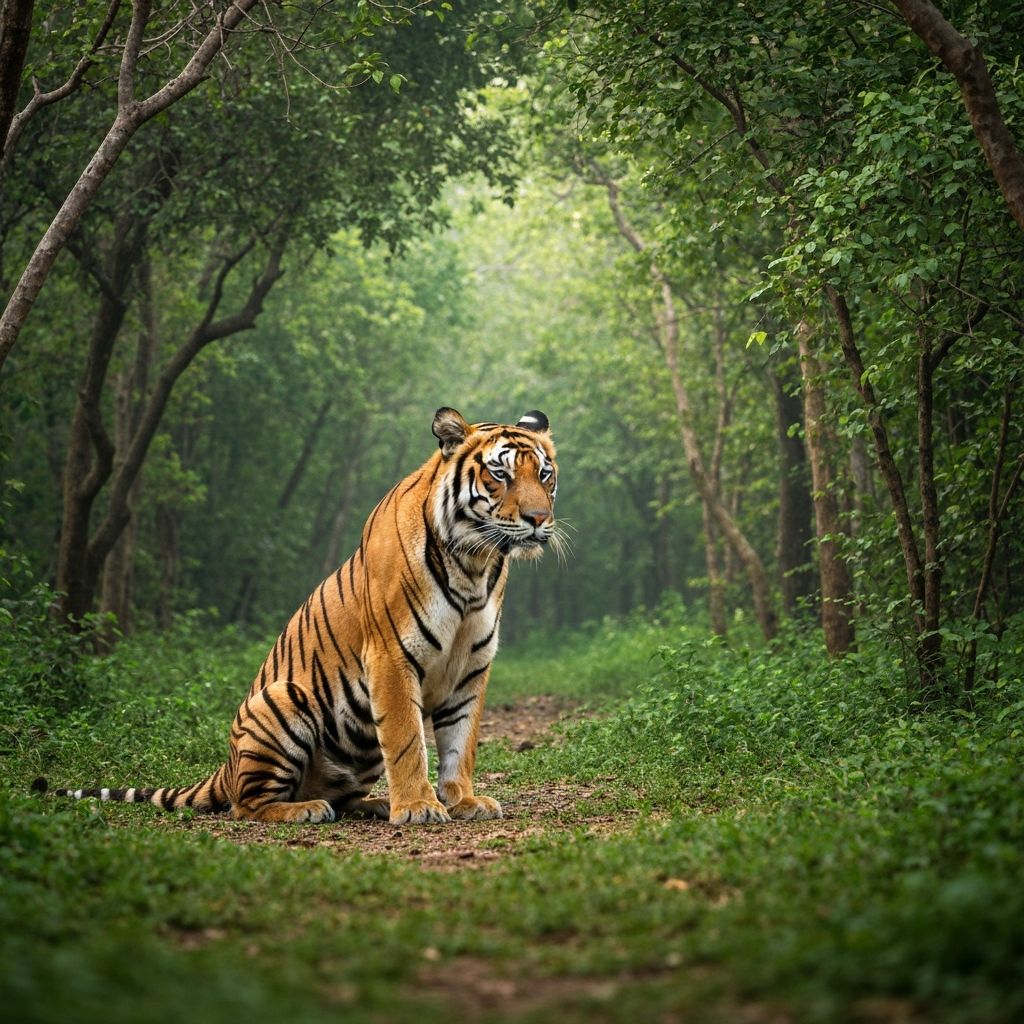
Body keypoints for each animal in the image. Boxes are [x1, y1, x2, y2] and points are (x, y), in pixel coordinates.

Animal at [33, 407, 558, 825]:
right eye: (500, 475)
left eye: (544, 475)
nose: (538, 520)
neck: (474, 564)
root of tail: (226, 764)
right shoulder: (392, 657)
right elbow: (409, 740)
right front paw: (417, 808)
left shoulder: (471, 667)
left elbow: (460, 742)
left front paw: (463, 801)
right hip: (283, 700)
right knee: (247, 805)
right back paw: (306, 810)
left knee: (341, 794)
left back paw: (370, 804)